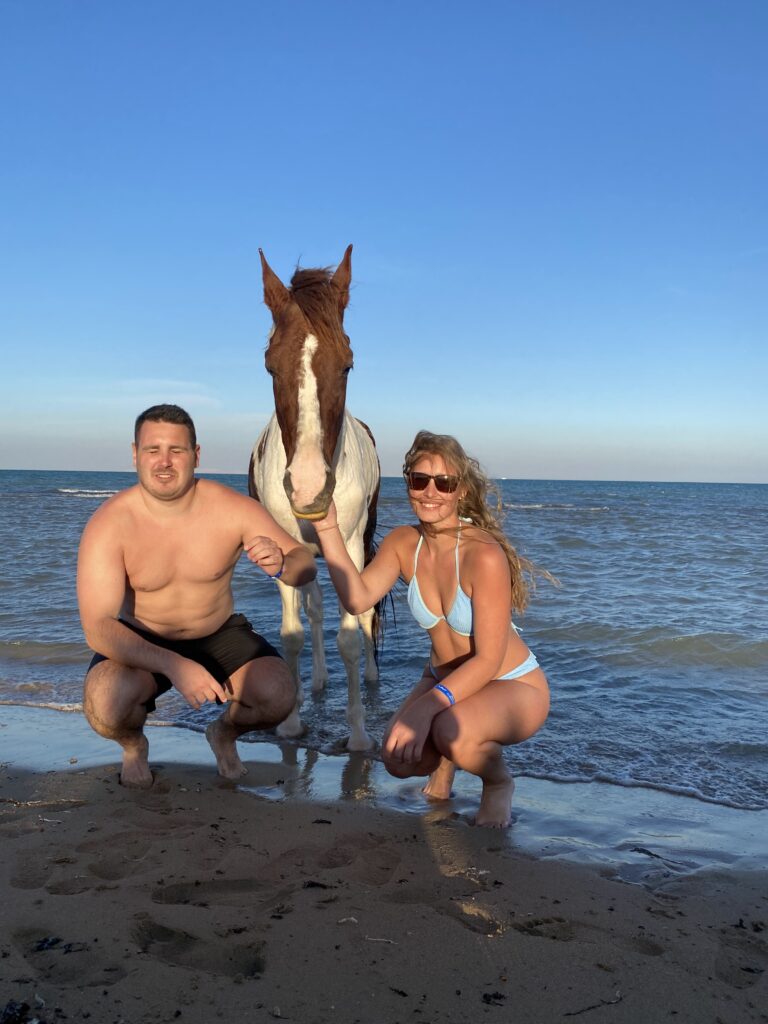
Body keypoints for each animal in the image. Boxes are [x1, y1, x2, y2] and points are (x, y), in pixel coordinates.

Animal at [248, 245, 380, 750]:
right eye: (270, 365)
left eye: (347, 364)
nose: (307, 488)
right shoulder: (285, 550)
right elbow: (292, 633)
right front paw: (289, 723)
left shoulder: (352, 548)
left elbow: (351, 635)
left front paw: (359, 736)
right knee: (314, 607)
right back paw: (317, 684)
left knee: (366, 618)